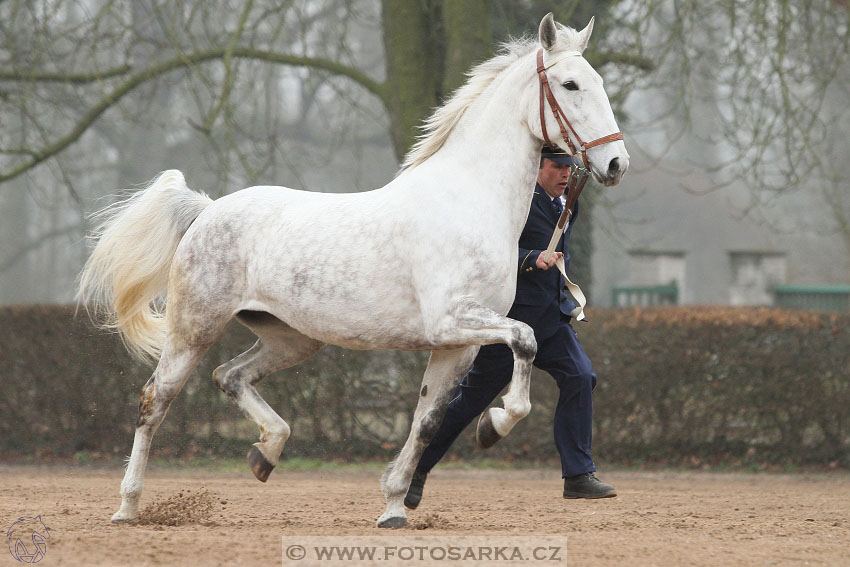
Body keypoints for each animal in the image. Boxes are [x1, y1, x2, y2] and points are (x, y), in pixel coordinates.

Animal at [78, 13, 624, 528]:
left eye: (597, 80)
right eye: (570, 85)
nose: (617, 163)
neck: (466, 200)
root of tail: (207, 210)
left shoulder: (458, 345)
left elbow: (428, 421)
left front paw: (395, 505)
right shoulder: (453, 321)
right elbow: (526, 342)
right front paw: (494, 426)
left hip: (293, 338)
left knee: (229, 375)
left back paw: (266, 453)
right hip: (194, 329)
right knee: (155, 402)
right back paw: (128, 507)